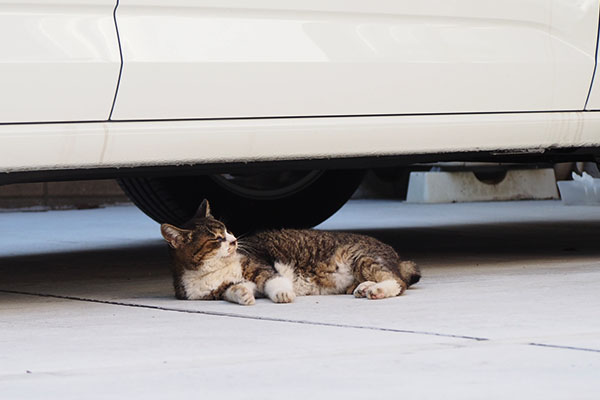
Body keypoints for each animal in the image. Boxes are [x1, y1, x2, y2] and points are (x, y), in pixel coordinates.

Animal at [161, 198, 422, 304]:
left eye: (227, 230)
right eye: (217, 239)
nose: (234, 241)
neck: (208, 271)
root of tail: (397, 256)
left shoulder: (259, 266)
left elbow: (273, 280)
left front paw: (282, 293)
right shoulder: (220, 290)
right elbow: (234, 290)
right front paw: (243, 295)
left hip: (361, 256)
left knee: (397, 281)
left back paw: (377, 289)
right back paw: (365, 287)